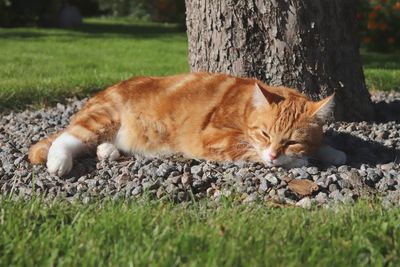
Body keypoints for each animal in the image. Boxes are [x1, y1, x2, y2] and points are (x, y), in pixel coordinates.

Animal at [28, 72, 346, 177]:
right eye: (265, 134)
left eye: (291, 140)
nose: (274, 154)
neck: (245, 109)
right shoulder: (214, 138)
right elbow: (250, 150)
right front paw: (299, 161)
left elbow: (321, 145)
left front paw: (331, 151)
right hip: (102, 117)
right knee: (66, 138)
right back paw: (59, 161)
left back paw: (107, 151)